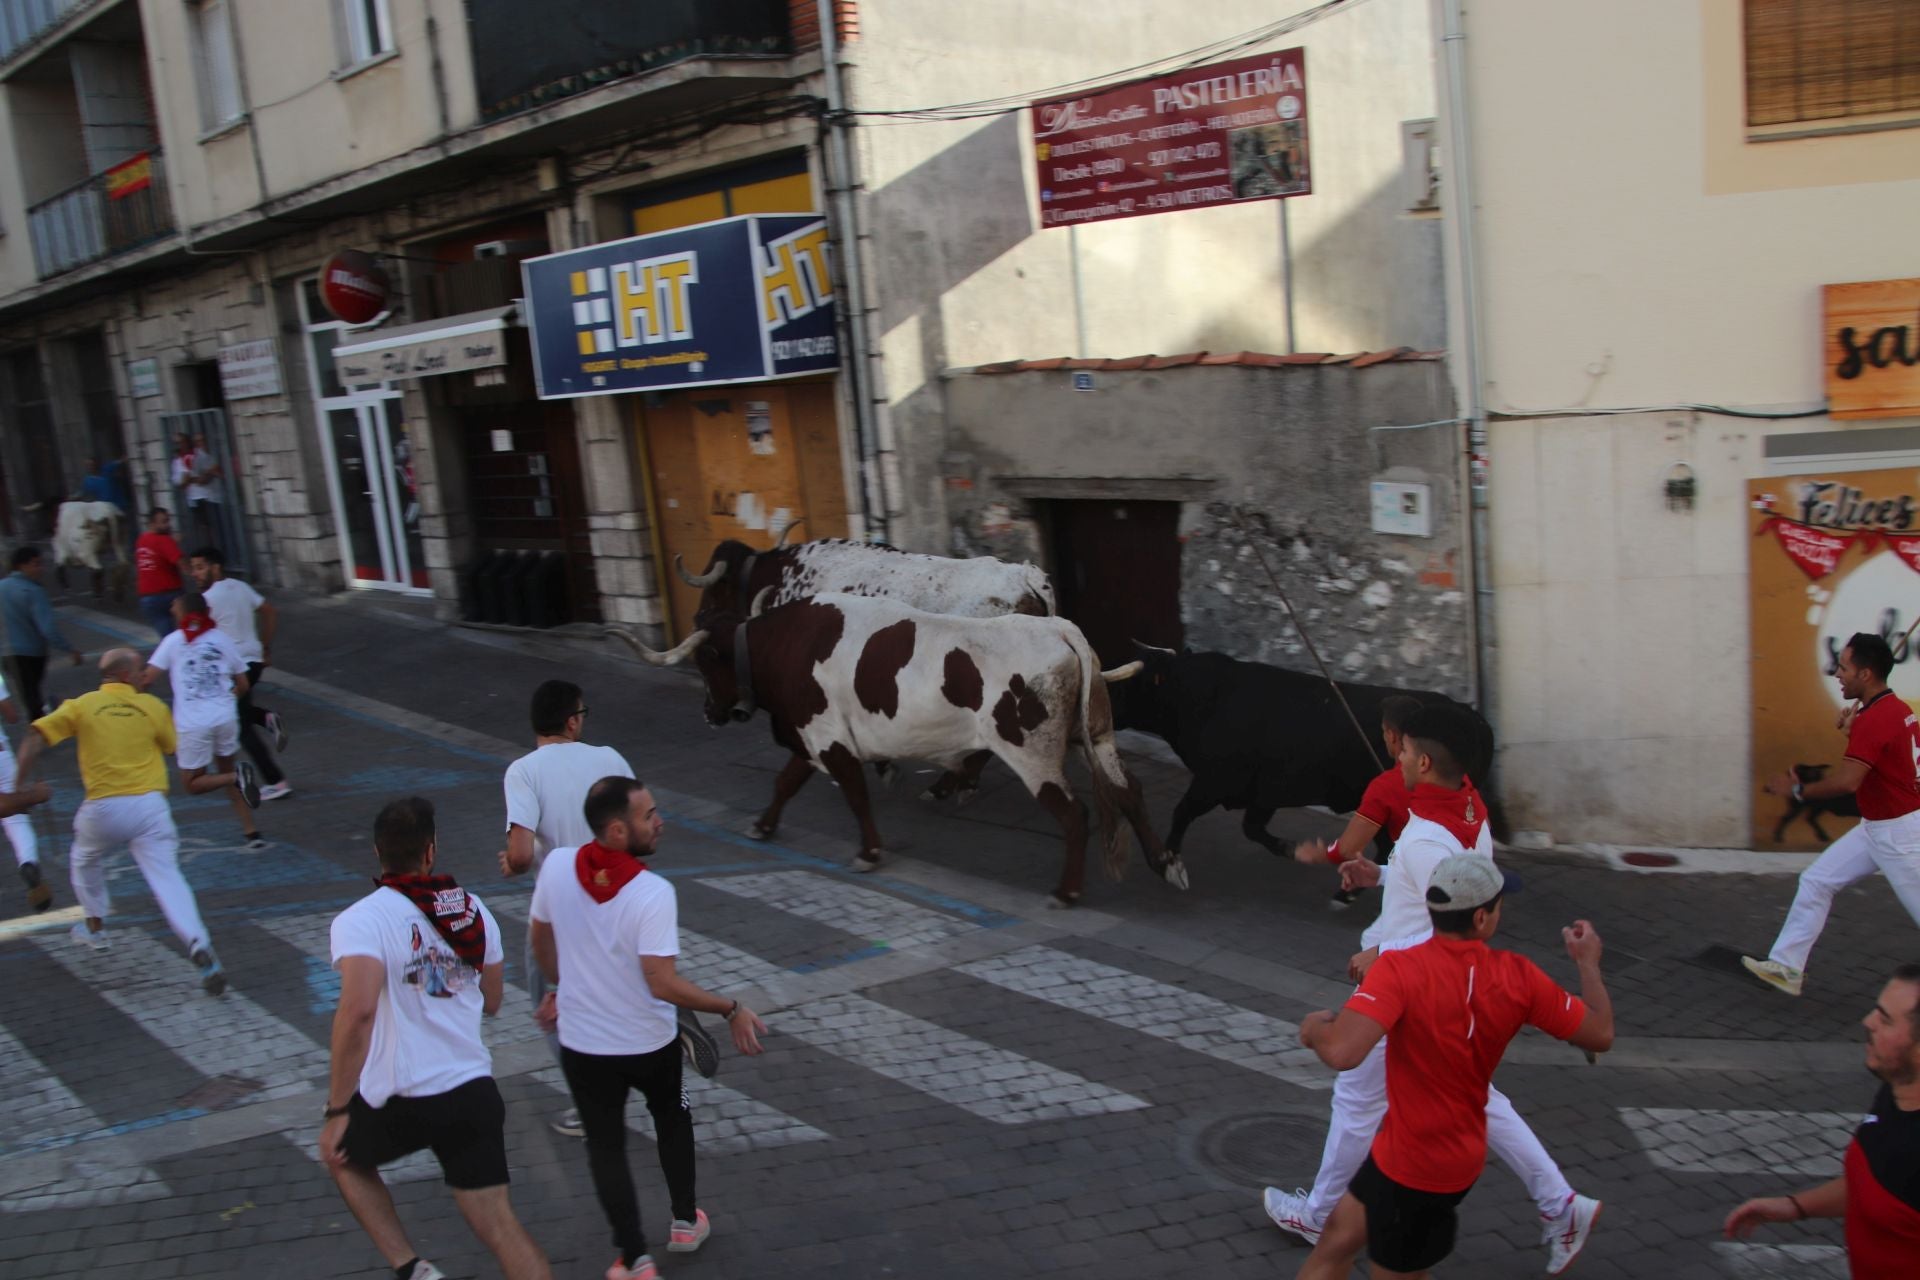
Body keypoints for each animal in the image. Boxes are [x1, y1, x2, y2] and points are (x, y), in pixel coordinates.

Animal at [614, 594, 1182, 905]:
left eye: (706, 661)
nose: (708, 711)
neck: (784, 645)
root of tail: (1059, 629)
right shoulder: (812, 737)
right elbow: (786, 782)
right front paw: (763, 824)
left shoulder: (828, 739)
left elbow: (853, 794)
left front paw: (868, 852)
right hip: (1096, 738)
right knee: (1129, 793)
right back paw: (1165, 863)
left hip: (1032, 754)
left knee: (1074, 813)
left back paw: (1067, 891)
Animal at [1113, 652, 1497, 859]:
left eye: (1132, 685)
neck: (1204, 697)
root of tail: (1474, 717)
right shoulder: (1263, 792)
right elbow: (1252, 827)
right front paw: (1287, 847)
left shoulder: (1214, 781)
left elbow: (1182, 812)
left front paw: (1168, 858)